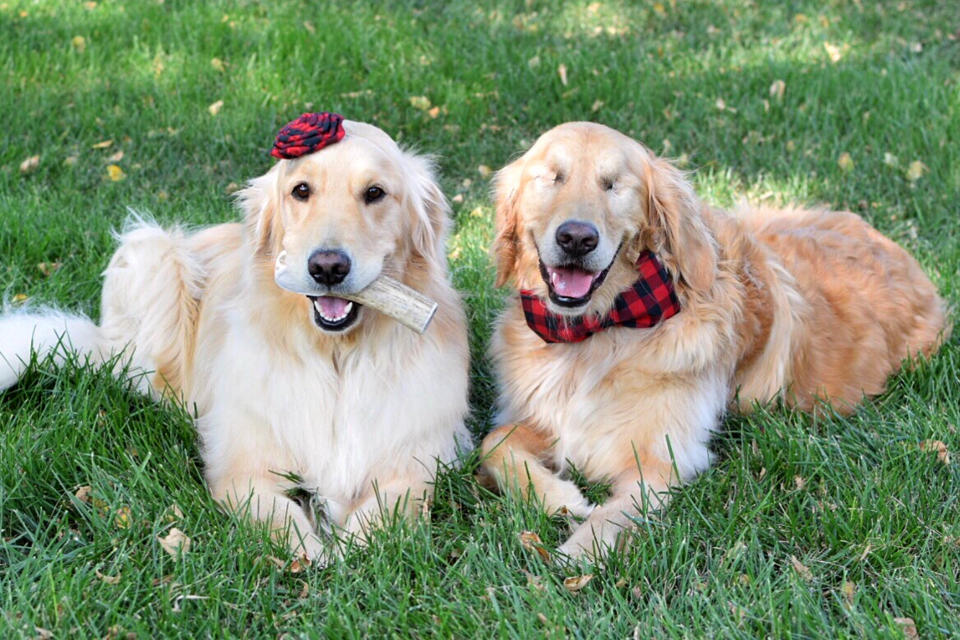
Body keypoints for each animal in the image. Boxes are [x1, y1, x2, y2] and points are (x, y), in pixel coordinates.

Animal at [0, 117, 468, 564]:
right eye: (301, 190)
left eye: (375, 193)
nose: (327, 267)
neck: (337, 356)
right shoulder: (241, 467)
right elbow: (278, 514)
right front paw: (313, 552)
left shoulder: (417, 462)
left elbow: (390, 508)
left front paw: (350, 545)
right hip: (152, 253)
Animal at [484, 121, 948, 560]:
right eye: (552, 177)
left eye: (613, 184)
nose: (577, 239)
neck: (599, 329)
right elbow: (494, 443)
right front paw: (559, 498)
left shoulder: (663, 460)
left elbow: (609, 519)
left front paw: (574, 556)